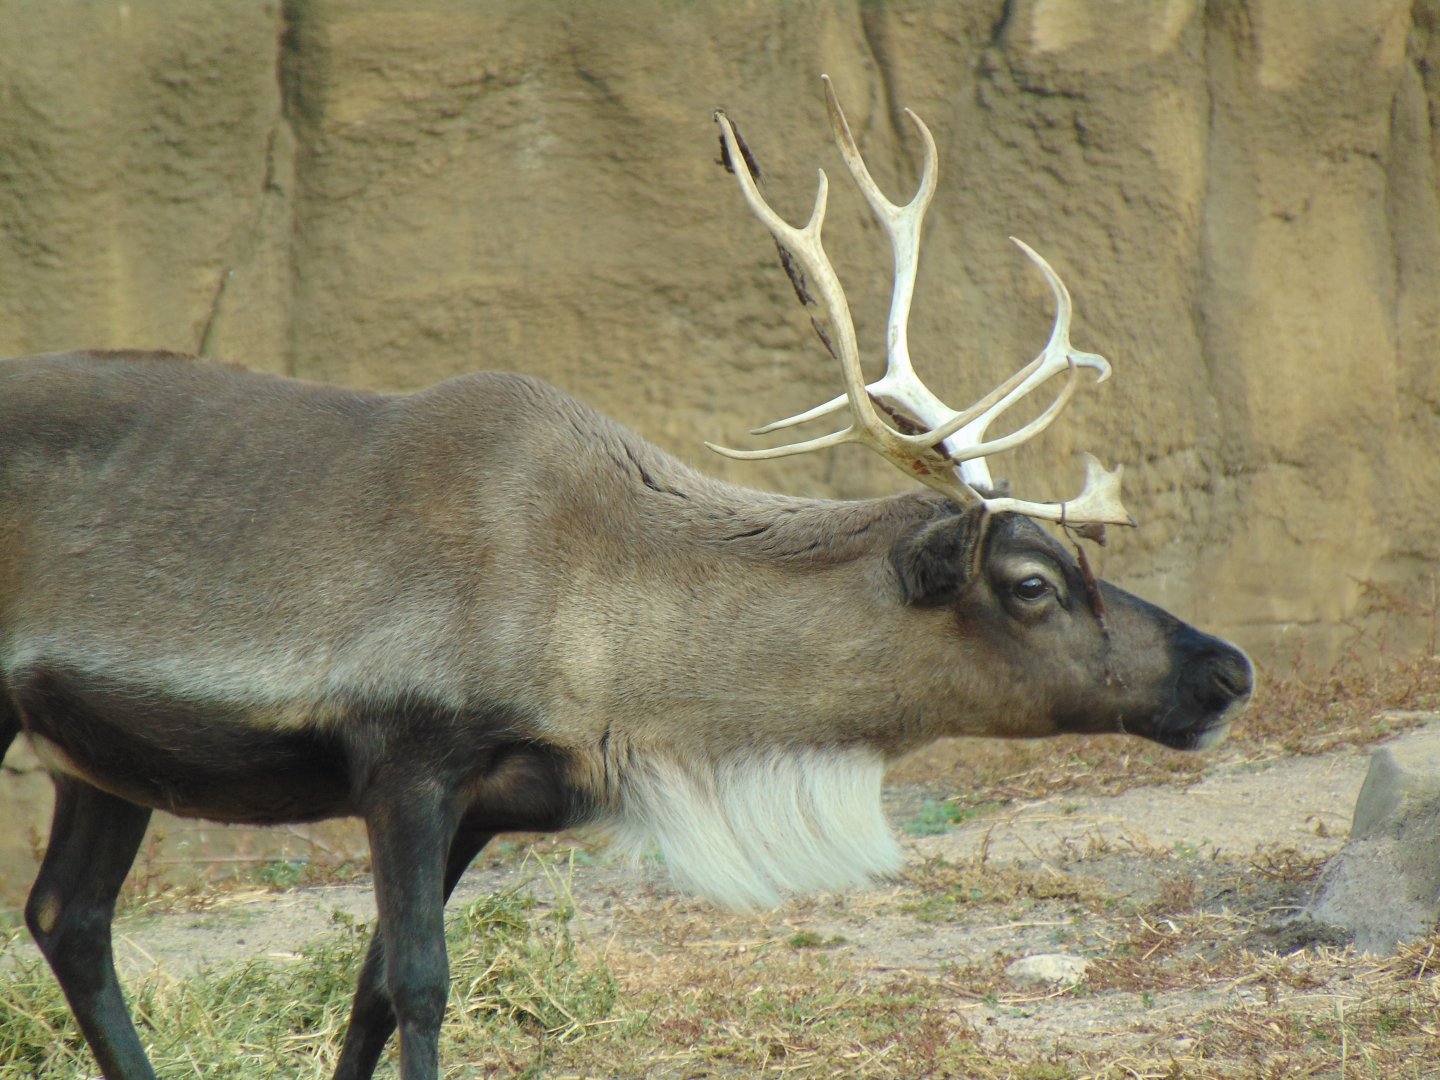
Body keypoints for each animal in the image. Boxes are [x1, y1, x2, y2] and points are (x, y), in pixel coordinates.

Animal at [0, 76, 1252, 1080]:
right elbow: (416, 985)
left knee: (69, 917)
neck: (619, 653)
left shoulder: (486, 801)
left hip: (100, 755)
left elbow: (364, 993)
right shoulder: (404, 760)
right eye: (1034, 581)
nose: (1228, 668)